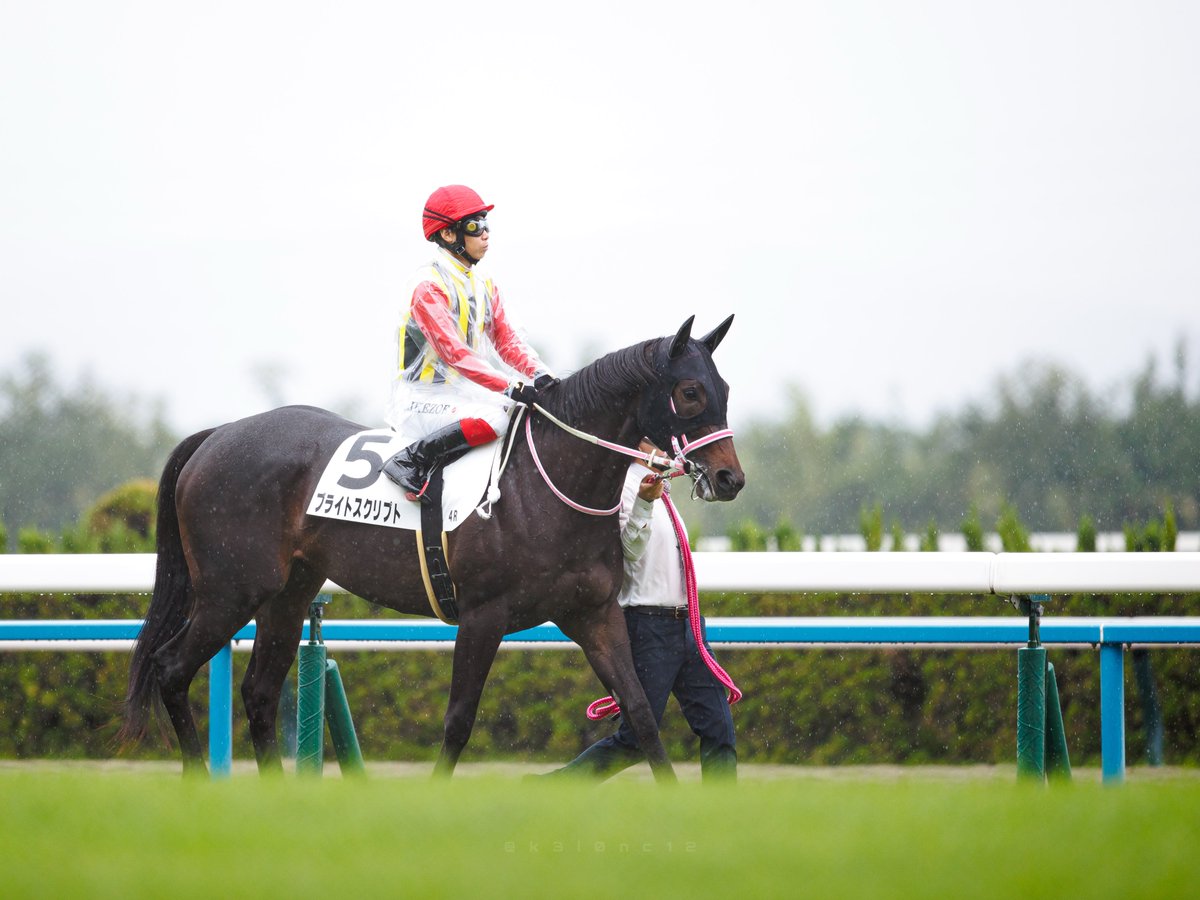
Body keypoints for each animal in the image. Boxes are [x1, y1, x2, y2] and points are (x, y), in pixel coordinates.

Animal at [119, 316, 745, 781]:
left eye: (725, 390)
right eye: (690, 392)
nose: (730, 479)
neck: (546, 486)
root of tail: (217, 435)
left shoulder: (592, 613)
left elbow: (640, 711)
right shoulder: (483, 615)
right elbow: (459, 720)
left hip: (288, 594)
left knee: (259, 690)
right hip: (230, 590)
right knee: (170, 667)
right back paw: (199, 781)